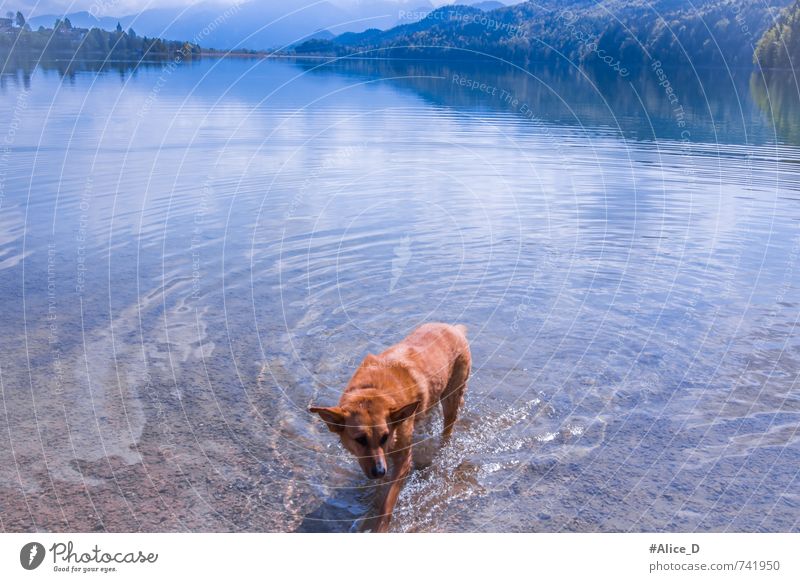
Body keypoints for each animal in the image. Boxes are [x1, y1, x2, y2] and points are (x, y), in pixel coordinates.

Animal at [306, 324, 468, 532]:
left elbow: (387, 503)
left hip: (451, 400)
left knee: (447, 430)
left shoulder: (403, 461)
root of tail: (453, 328)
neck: (374, 391)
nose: (380, 471)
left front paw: (380, 526)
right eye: (360, 439)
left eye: (385, 436)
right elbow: (379, 491)